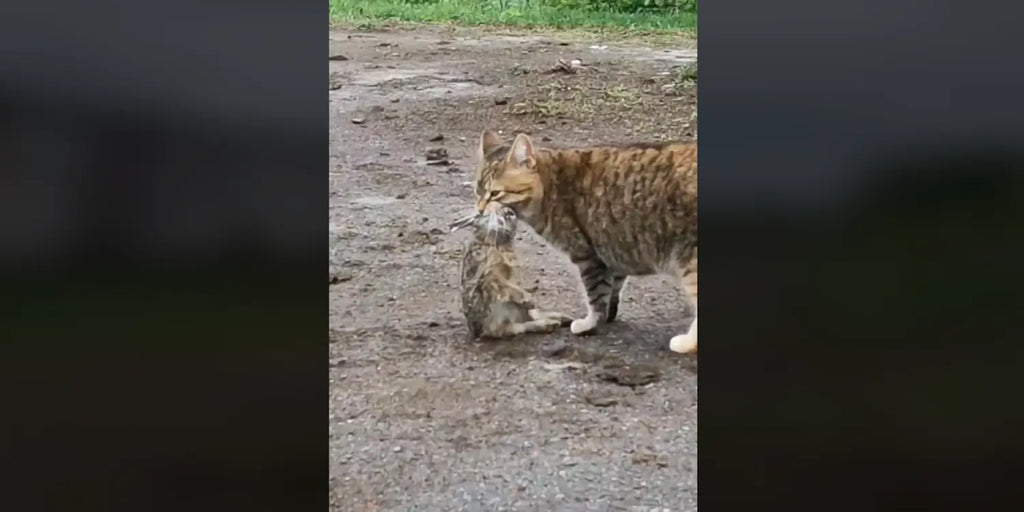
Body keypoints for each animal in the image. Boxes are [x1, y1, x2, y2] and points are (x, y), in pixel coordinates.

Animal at [450, 200, 573, 339]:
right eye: (485, 213)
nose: (509, 212)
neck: (494, 242)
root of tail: (479, 332)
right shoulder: (492, 277)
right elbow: (508, 287)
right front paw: (527, 298)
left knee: (529, 316)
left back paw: (563, 318)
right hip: (503, 310)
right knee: (515, 327)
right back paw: (550, 324)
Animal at [468, 130, 696, 354]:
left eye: (495, 193)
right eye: (477, 191)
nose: (479, 210)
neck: (550, 185)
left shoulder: (588, 256)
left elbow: (596, 296)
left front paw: (589, 323)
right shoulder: (614, 248)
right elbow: (613, 289)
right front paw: (610, 314)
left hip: (689, 259)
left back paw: (685, 343)